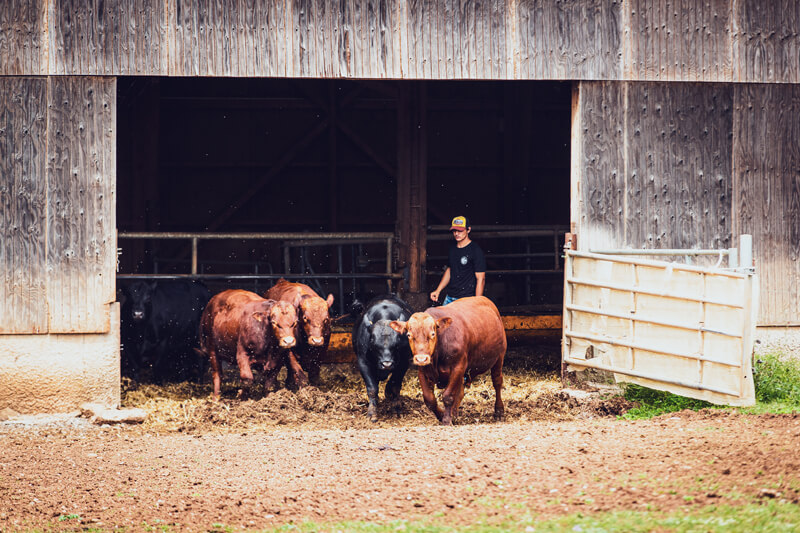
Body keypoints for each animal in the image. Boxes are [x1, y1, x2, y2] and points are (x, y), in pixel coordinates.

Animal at [390, 296, 506, 424]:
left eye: (433, 334)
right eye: (409, 335)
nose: (421, 359)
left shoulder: (457, 367)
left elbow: (448, 396)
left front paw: (446, 419)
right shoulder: (423, 372)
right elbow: (429, 399)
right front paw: (442, 415)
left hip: (499, 357)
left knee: (497, 382)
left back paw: (499, 411)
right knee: (460, 392)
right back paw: (454, 414)